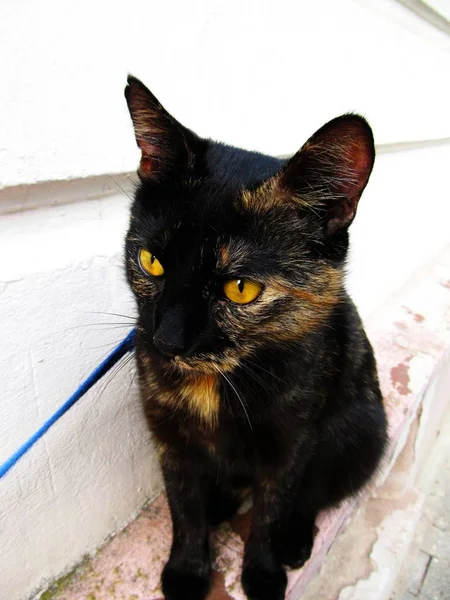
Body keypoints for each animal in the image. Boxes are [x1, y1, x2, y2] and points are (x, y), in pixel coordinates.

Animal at [122, 76, 386, 600]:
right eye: (151, 261)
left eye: (241, 288)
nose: (166, 342)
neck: (217, 384)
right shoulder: (169, 435)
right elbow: (183, 507)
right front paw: (187, 571)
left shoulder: (294, 440)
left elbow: (272, 509)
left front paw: (263, 574)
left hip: (359, 428)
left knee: (314, 494)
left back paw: (294, 541)